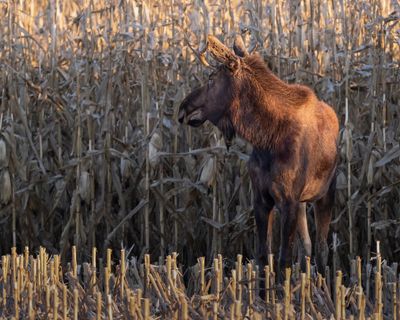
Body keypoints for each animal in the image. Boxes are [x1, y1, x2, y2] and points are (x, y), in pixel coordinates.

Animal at [180, 36, 340, 278]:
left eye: (211, 78)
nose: (183, 108)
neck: (266, 138)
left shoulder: (289, 201)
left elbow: (284, 260)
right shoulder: (262, 198)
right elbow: (264, 257)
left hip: (325, 193)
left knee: (322, 249)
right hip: (304, 203)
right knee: (307, 246)